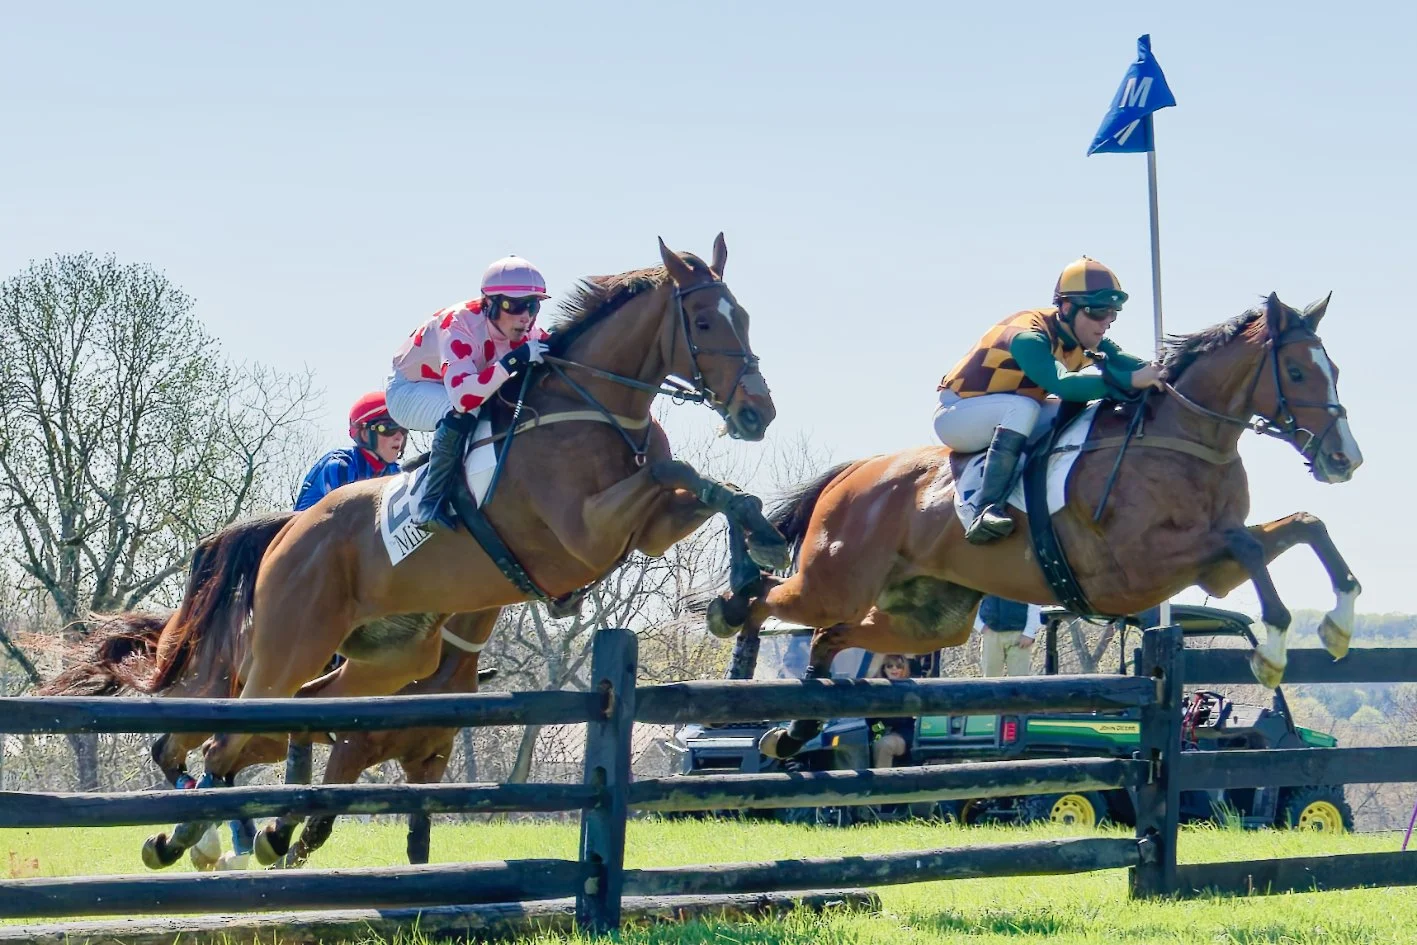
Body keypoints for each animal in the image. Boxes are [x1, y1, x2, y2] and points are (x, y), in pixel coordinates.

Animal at [41, 599, 498, 870]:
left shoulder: (429, 762)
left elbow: (419, 839)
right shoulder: (352, 748)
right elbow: (319, 824)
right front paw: (282, 851)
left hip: (265, 738)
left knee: (220, 766)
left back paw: (232, 842)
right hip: (212, 703)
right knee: (171, 752)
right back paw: (191, 842)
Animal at [110, 235, 787, 868]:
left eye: (747, 318)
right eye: (704, 323)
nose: (757, 412)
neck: (594, 407)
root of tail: (288, 531)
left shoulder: (647, 528)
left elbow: (722, 491)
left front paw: (751, 571)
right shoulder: (586, 532)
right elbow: (676, 469)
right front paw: (747, 573)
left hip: (386, 660)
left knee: (291, 719)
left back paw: (237, 834)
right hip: (288, 648)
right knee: (225, 738)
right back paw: (186, 839)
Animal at [701, 293, 1363, 760]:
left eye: (1334, 368)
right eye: (1298, 374)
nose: (1345, 459)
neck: (1184, 438)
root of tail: (856, 472)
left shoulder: (1210, 569)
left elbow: (1304, 526)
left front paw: (1337, 625)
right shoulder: (1137, 570)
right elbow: (1248, 542)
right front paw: (1273, 650)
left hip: (929, 618)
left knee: (829, 637)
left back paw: (791, 731)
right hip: (834, 580)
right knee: (774, 601)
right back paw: (729, 622)